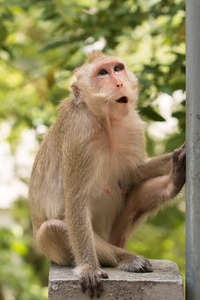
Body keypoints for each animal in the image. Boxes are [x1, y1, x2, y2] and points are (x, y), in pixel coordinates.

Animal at [28, 51, 186, 298]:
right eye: (102, 73)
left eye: (118, 68)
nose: (119, 82)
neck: (106, 122)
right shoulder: (79, 134)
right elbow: (75, 200)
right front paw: (89, 269)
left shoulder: (132, 125)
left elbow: (135, 175)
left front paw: (178, 160)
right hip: (50, 247)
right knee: (53, 228)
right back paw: (125, 258)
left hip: (118, 232)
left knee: (138, 193)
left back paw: (172, 183)